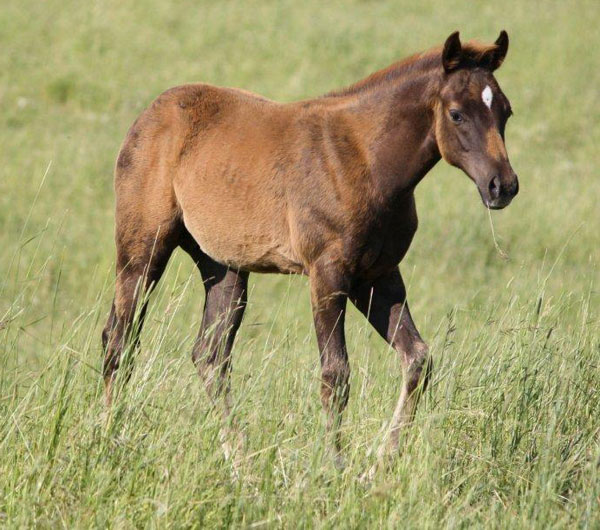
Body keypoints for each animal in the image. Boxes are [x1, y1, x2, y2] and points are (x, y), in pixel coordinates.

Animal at [102, 31, 516, 464]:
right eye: (456, 114)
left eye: (505, 111)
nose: (502, 186)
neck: (364, 159)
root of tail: (151, 113)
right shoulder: (327, 273)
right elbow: (336, 374)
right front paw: (334, 465)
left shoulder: (378, 274)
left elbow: (417, 358)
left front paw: (383, 461)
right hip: (143, 248)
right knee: (119, 339)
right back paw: (108, 439)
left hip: (223, 266)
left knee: (209, 356)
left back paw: (240, 460)